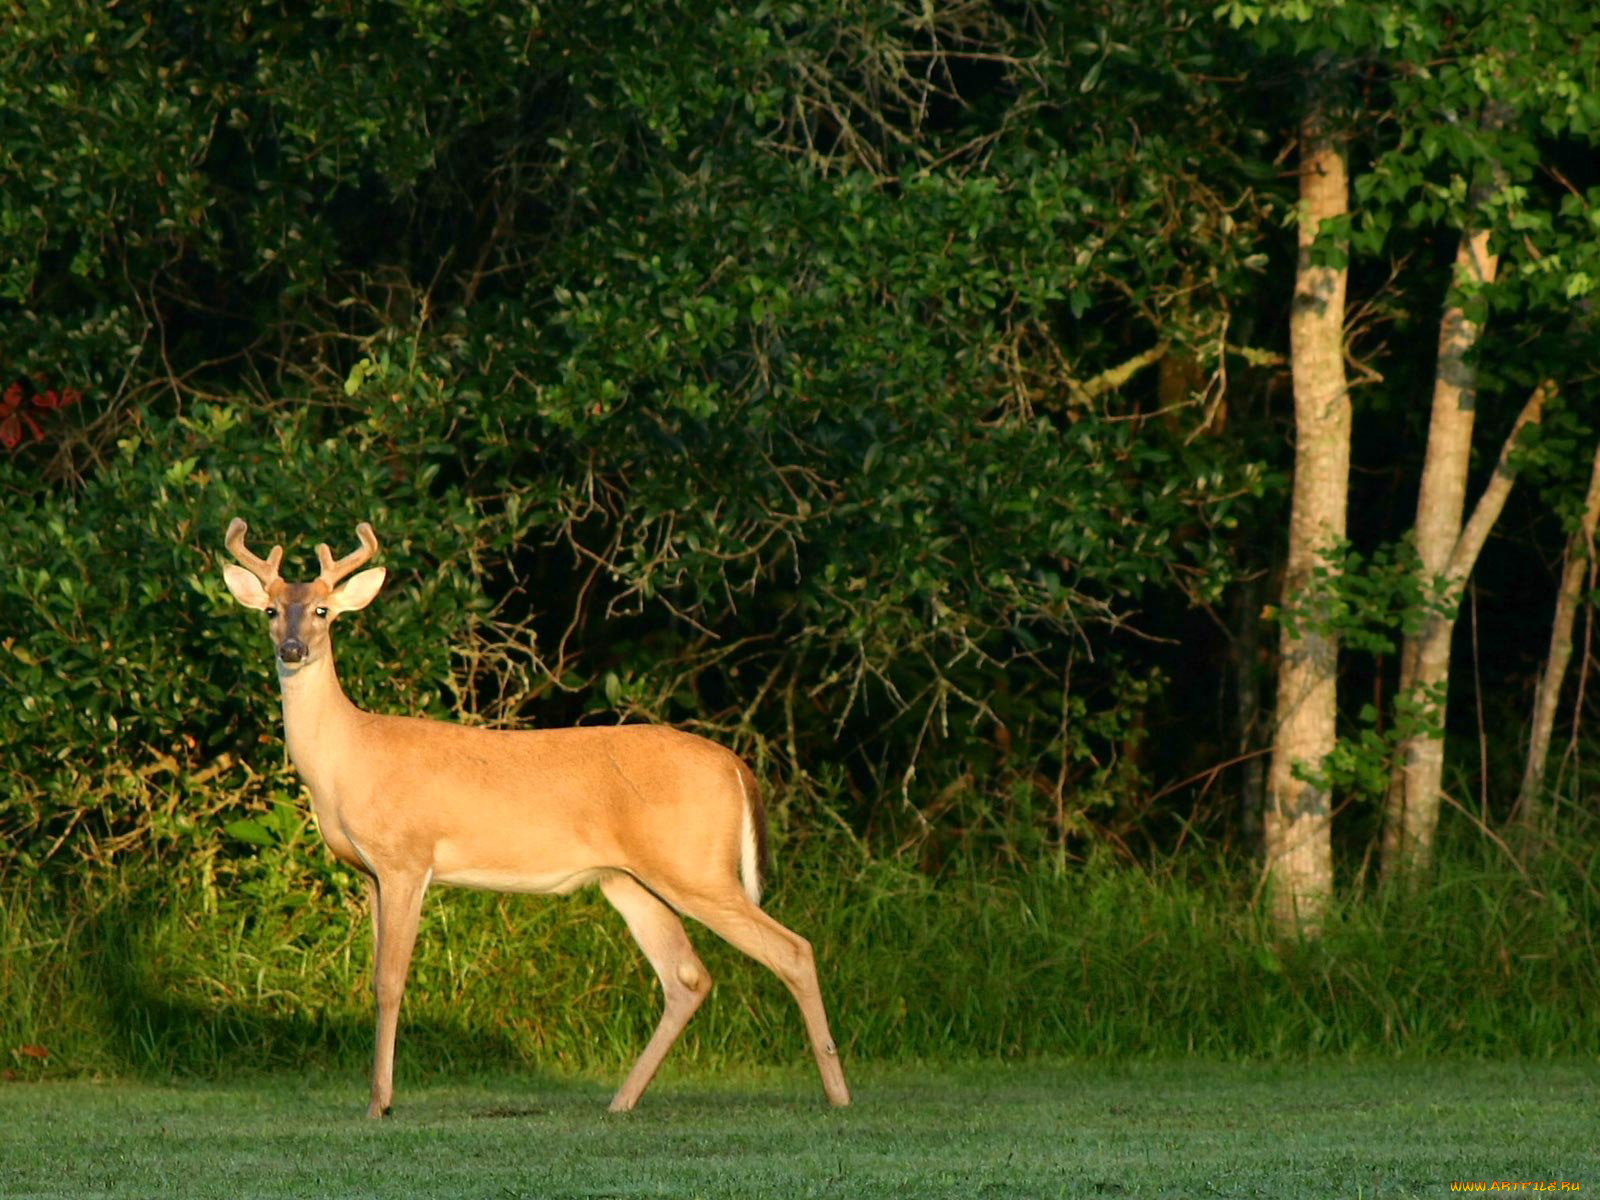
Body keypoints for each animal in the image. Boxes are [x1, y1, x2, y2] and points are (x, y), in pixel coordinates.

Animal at [219, 518, 857, 1120]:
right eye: (272, 610)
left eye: (323, 609)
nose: (293, 650)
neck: (347, 759)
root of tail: (736, 765)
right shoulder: (369, 872)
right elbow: (375, 978)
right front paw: (375, 1098)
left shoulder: (407, 858)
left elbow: (389, 982)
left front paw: (381, 1104)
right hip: (630, 879)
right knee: (687, 976)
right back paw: (621, 1100)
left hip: (696, 867)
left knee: (792, 950)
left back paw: (838, 1095)